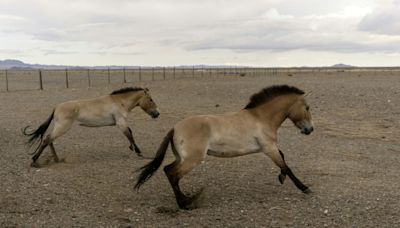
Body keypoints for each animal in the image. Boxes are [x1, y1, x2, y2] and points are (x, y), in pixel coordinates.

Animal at [23, 86, 159, 167]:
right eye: (151, 99)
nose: (157, 113)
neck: (118, 102)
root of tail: (57, 107)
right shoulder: (120, 122)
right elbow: (129, 135)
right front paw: (139, 152)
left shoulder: (121, 123)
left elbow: (130, 133)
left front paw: (133, 148)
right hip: (62, 127)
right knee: (47, 139)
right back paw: (35, 160)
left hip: (60, 127)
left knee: (50, 139)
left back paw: (56, 159)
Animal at [136, 84, 314, 209]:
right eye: (307, 107)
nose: (310, 129)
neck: (261, 118)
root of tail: (175, 128)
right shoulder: (269, 148)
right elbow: (286, 165)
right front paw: (305, 188)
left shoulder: (269, 148)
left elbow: (283, 159)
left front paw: (281, 178)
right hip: (192, 160)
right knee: (173, 174)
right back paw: (185, 203)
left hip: (181, 158)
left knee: (168, 170)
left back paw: (185, 199)